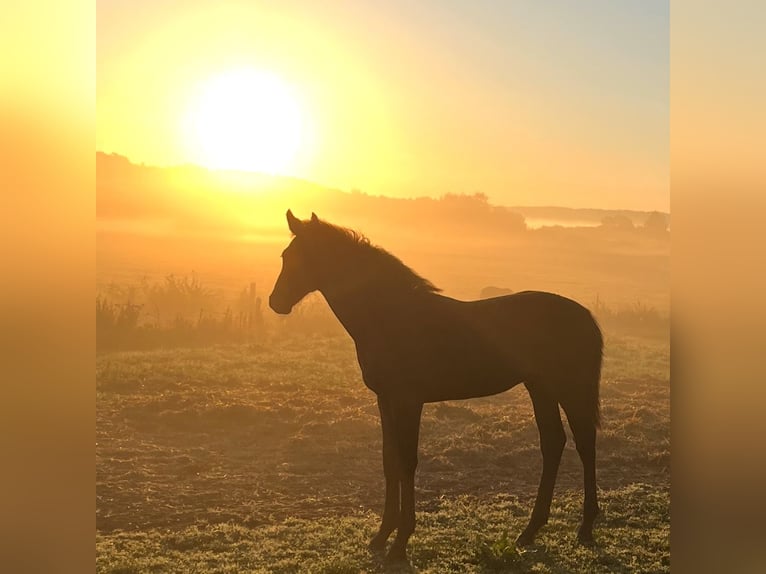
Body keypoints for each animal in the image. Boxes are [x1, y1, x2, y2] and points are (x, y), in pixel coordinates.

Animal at [269, 210, 603, 563]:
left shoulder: (408, 401)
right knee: (553, 443)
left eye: (302, 257)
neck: (390, 317)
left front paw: (400, 543)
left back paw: (585, 527)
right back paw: (529, 531)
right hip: (540, 387)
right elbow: (389, 460)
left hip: (571, 388)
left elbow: (407, 461)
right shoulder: (385, 399)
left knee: (584, 444)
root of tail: (585, 315)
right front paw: (381, 536)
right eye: (285, 256)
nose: (276, 302)